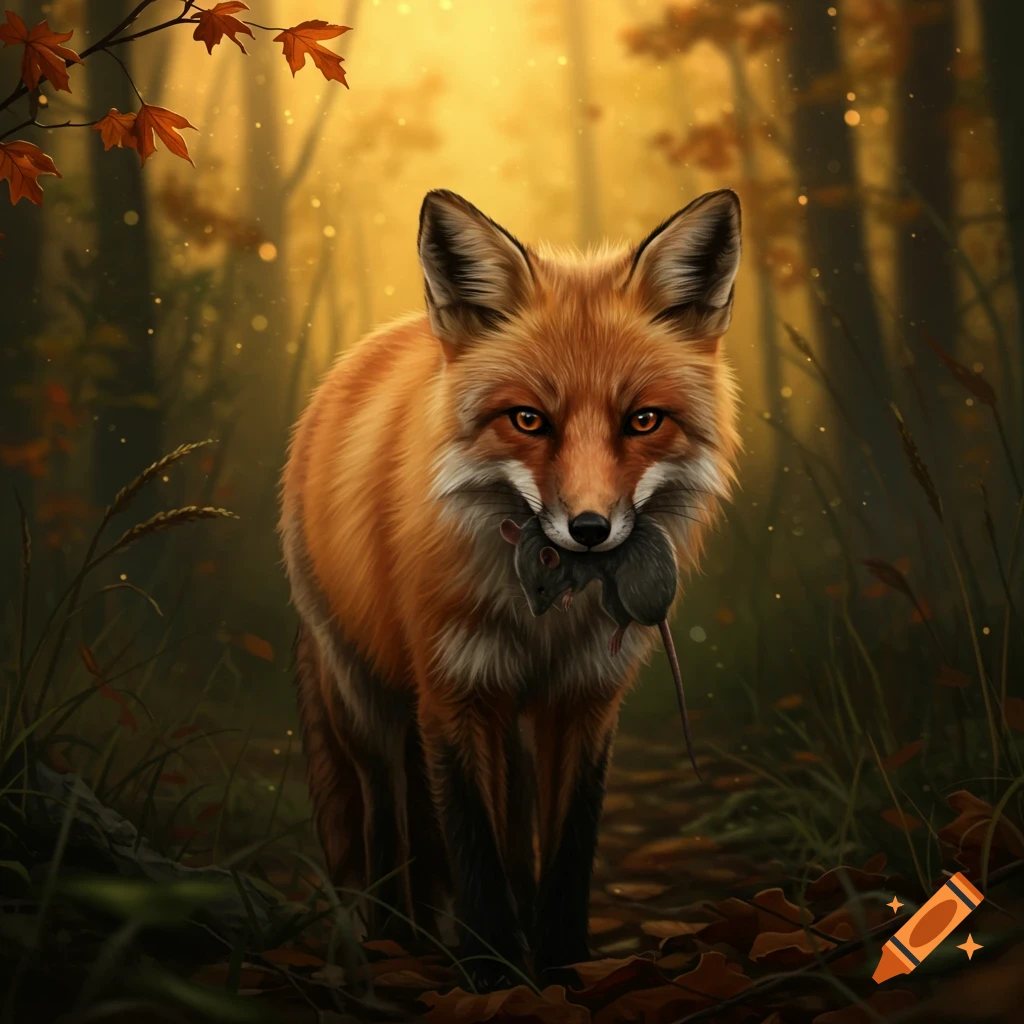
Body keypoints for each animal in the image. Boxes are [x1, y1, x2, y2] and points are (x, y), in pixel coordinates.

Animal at [278, 187, 742, 988]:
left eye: (642, 420)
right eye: (528, 419)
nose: (589, 529)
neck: (544, 622)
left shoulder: (583, 701)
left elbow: (566, 851)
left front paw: (559, 965)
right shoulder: (453, 697)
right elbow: (475, 853)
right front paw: (490, 972)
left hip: (513, 726)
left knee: (512, 826)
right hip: (368, 702)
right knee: (383, 820)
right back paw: (393, 944)